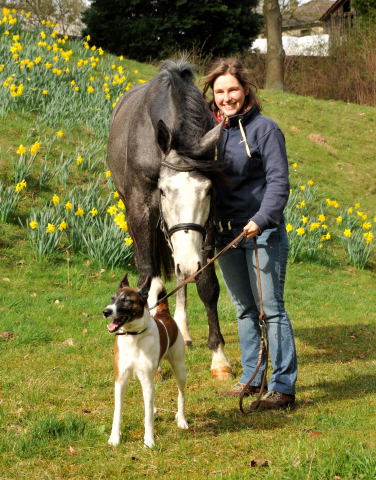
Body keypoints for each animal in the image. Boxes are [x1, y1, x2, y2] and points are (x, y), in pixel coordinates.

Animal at [103, 276, 188, 448]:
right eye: (112, 299)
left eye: (127, 300)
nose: (106, 311)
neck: (133, 336)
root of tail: (164, 314)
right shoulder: (120, 380)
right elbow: (118, 412)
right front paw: (114, 438)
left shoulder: (146, 379)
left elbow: (147, 415)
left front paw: (149, 440)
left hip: (179, 369)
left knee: (181, 394)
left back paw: (181, 419)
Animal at [107, 59, 232, 378]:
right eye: (163, 190)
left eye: (208, 190)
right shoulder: (139, 210)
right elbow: (148, 280)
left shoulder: (207, 225)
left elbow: (206, 283)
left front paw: (219, 357)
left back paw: (183, 331)